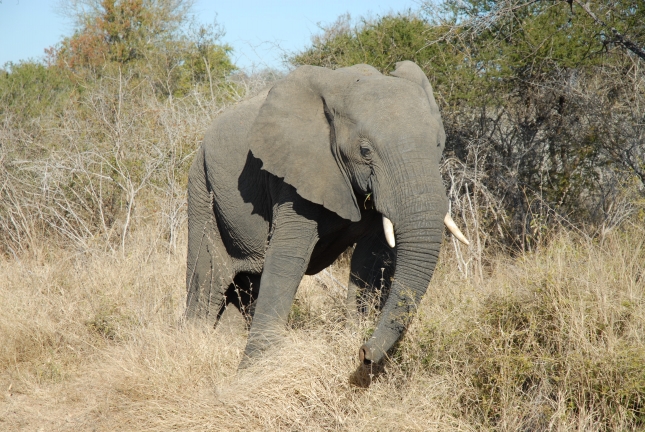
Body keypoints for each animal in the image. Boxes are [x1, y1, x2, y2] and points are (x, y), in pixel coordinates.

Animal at [186, 59, 468, 366]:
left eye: (438, 144)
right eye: (365, 151)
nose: (364, 354)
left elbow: (371, 257)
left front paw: (355, 335)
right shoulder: (295, 172)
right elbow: (288, 257)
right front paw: (257, 367)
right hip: (202, 188)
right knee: (208, 280)